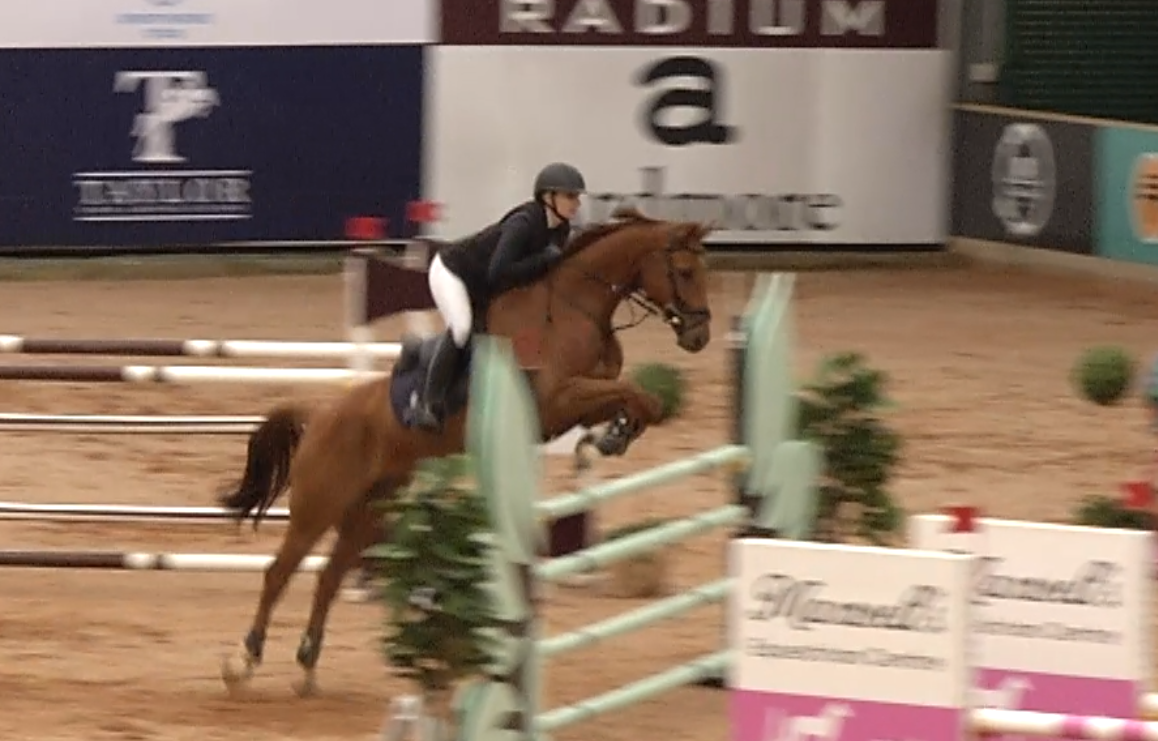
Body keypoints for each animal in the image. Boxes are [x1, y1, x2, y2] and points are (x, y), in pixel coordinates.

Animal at [215, 206, 715, 696]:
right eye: (685, 271)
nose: (699, 337)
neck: (575, 307)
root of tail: (320, 414)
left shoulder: (579, 401)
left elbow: (639, 399)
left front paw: (615, 435)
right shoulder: (554, 403)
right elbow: (631, 393)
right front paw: (616, 433)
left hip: (370, 507)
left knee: (329, 576)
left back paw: (307, 666)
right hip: (319, 504)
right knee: (279, 572)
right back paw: (243, 662)